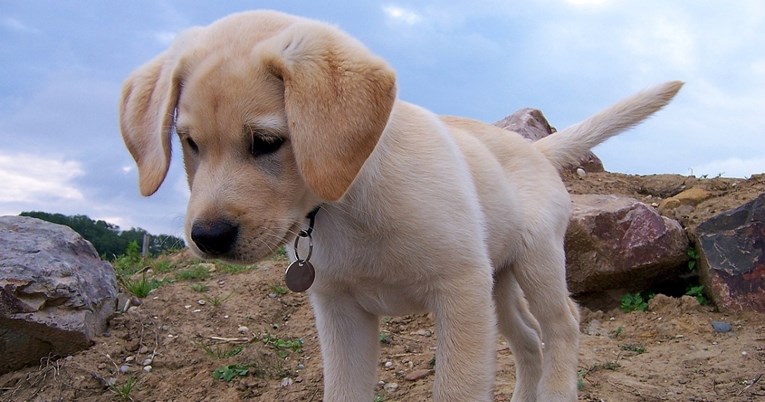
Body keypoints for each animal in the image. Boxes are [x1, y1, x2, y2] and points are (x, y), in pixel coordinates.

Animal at [119, 10, 680, 402]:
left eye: (266, 142)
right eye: (189, 143)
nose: (208, 237)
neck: (348, 203)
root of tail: (534, 149)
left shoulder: (459, 294)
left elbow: (456, 389)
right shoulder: (340, 312)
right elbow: (344, 392)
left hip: (536, 260)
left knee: (563, 324)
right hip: (497, 282)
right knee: (527, 342)